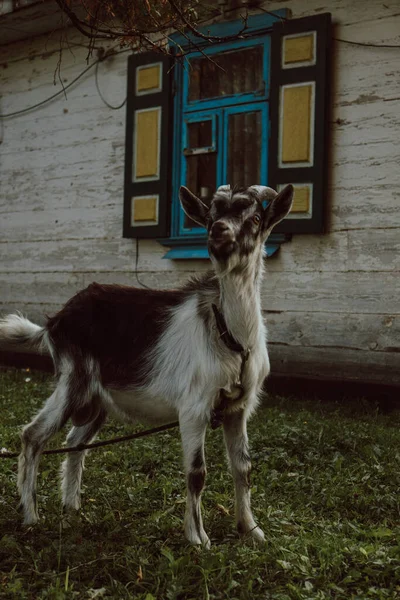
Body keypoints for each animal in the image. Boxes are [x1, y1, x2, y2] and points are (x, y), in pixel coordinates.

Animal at [0, 184, 294, 548]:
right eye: (210, 216)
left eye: (254, 218)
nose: (218, 231)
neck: (231, 336)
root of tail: (53, 323)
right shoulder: (194, 408)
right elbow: (197, 472)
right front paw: (198, 539)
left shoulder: (238, 409)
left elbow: (243, 467)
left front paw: (251, 530)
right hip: (72, 380)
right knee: (33, 435)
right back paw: (31, 516)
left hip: (97, 399)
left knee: (76, 442)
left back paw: (72, 509)